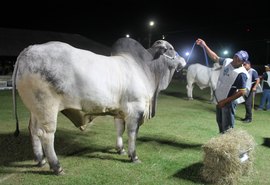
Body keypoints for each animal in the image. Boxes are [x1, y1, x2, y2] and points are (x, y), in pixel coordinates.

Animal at [12, 38, 186, 175]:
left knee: (33, 130)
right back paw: (56, 166)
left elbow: (119, 129)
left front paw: (120, 149)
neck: (145, 68)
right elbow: (132, 133)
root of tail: (29, 50)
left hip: (35, 109)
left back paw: (40, 160)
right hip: (47, 107)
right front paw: (133, 156)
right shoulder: (135, 109)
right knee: (46, 134)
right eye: (171, 48)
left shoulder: (120, 112)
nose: (184, 60)